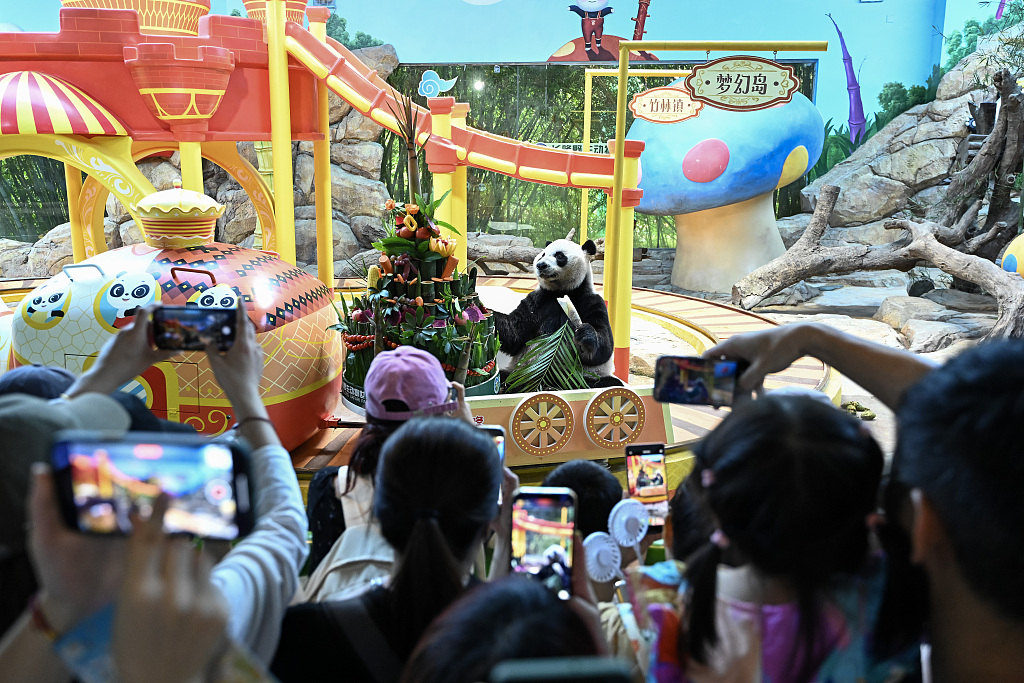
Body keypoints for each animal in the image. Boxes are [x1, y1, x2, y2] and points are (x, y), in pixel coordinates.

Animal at [491, 240, 618, 389]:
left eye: (559, 256)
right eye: (542, 255)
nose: (541, 265)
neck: (561, 291)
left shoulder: (590, 300)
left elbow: (605, 347)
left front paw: (585, 333)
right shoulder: (538, 301)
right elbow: (514, 333)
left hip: (585, 376)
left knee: (608, 383)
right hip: (521, 373)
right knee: (506, 378)